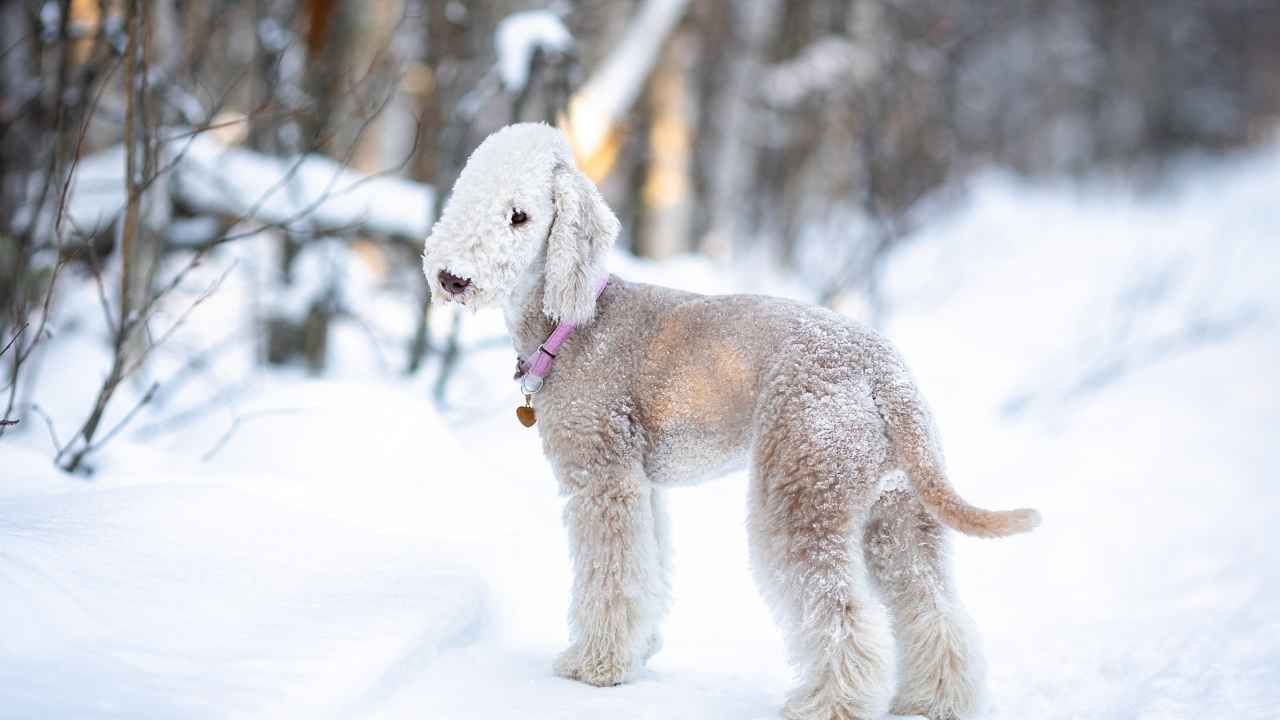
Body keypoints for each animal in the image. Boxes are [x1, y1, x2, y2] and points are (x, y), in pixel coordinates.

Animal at [422, 122, 1039, 717]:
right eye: (465, 194)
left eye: (519, 216)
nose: (451, 277)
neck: (573, 320)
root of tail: (883, 372)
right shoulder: (642, 486)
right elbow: (648, 571)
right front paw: (637, 653)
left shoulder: (601, 479)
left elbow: (611, 575)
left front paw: (594, 667)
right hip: (897, 508)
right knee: (934, 607)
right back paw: (932, 702)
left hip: (802, 486)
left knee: (840, 610)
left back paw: (827, 704)